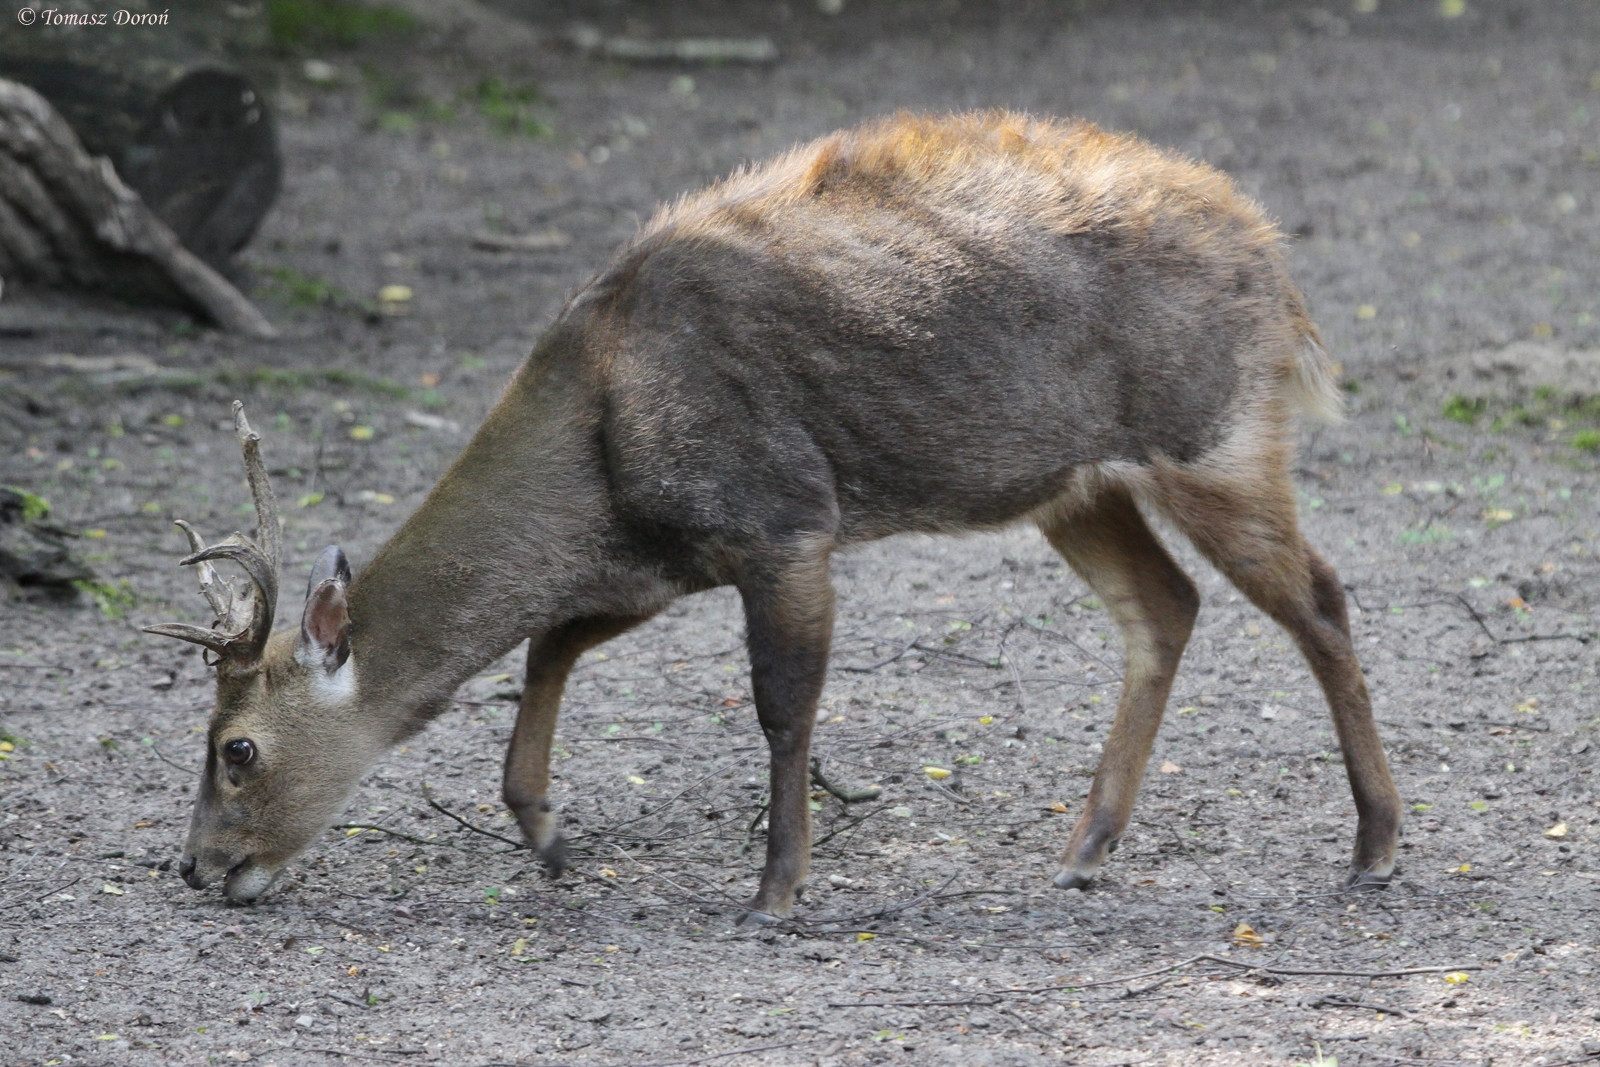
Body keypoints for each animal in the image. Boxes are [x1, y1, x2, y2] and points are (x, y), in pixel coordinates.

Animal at [145, 112, 1402, 921]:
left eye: (236, 747)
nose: (198, 867)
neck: (599, 456)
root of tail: (1274, 263)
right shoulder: (664, 556)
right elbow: (550, 641)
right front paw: (547, 830)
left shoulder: (782, 515)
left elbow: (781, 704)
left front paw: (774, 887)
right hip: (1073, 483)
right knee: (1165, 604)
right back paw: (1086, 849)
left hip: (1214, 433)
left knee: (1320, 599)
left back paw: (1376, 846)